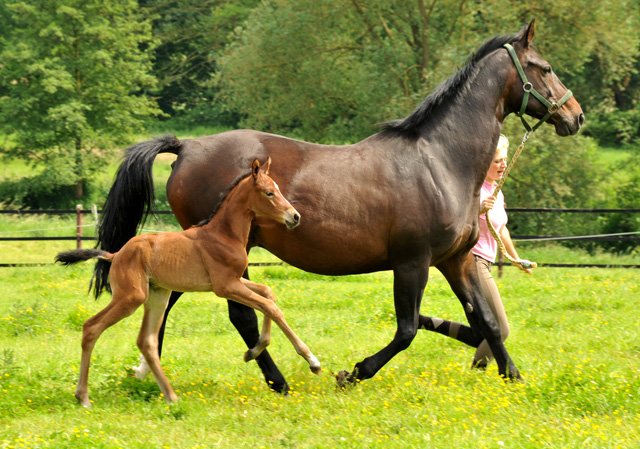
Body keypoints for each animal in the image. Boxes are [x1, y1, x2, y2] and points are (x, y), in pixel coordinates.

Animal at [57, 158, 322, 406]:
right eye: (269, 193)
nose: (295, 216)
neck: (223, 234)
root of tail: (117, 254)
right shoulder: (225, 286)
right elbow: (270, 306)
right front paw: (312, 361)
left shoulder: (234, 280)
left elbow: (268, 293)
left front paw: (253, 350)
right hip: (131, 297)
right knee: (91, 327)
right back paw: (83, 397)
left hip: (158, 296)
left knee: (146, 341)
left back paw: (171, 397)